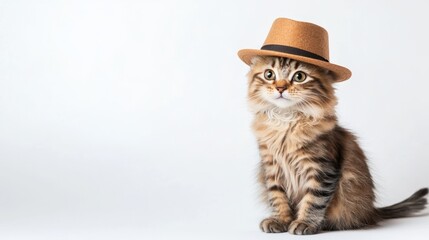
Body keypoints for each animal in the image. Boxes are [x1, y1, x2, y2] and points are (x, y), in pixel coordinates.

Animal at [246, 55, 426, 234]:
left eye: (299, 76)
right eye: (269, 74)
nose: (280, 88)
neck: (286, 121)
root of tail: (372, 211)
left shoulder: (321, 168)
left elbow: (313, 200)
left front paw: (304, 223)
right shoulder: (271, 168)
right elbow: (277, 197)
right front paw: (281, 220)